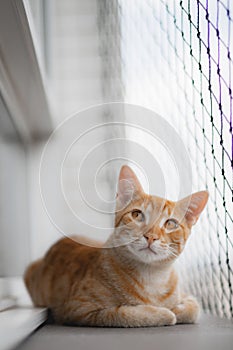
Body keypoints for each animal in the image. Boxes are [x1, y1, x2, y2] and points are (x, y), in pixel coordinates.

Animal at [24, 165, 208, 326]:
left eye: (170, 223)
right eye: (137, 214)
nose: (151, 236)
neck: (151, 278)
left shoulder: (188, 297)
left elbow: (194, 309)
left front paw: (175, 309)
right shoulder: (78, 309)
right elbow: (124, 313)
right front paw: (163, 313)